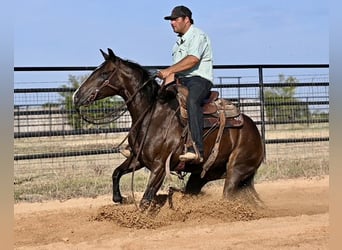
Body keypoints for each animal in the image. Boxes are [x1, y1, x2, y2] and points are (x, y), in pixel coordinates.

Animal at [73, 47, 264, 210]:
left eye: (104, 73)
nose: (77, 96)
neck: (151, 115)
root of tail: (254, 130)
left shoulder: (159, 166)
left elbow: (145, 200)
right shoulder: (139, 159)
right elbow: (116, 173)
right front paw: (120, 198)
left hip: (236, 171)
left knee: (228, 196)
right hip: (203, 175)